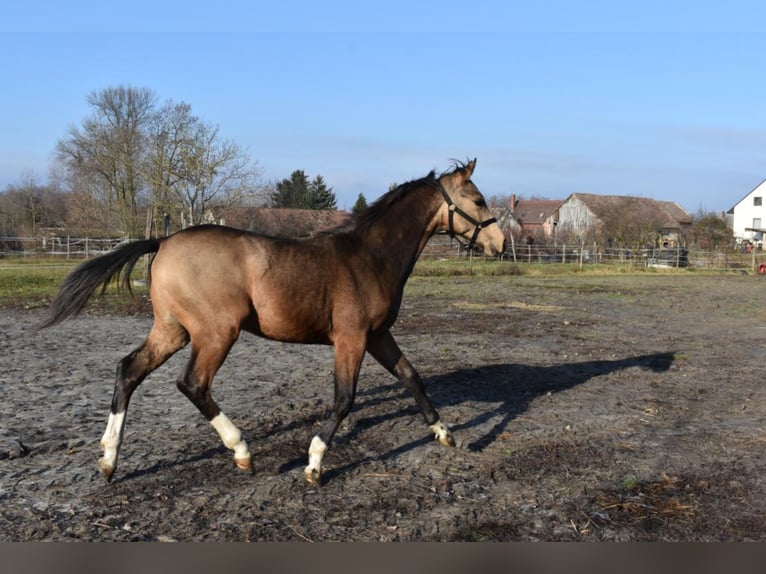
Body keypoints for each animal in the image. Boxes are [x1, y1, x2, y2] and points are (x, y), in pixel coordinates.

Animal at [43, 160, 510, 488]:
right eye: (479, 201)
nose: (501, 244)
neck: (371, 257)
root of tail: (164, 240)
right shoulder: (352, 339)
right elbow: (344, 399)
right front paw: (314, 464)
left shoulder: (378, 336)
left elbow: (412, 377)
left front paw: (445, 433)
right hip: (216, 333)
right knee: (193, 384)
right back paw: (241, 451)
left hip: (172, 330)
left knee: (129, 370)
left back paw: (108, 460)